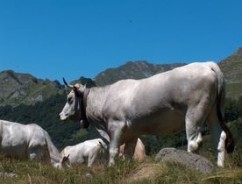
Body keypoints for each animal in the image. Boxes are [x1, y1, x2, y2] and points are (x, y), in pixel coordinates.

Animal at [59, 61, 234, 167]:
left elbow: (113, 151)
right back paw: (220, 167)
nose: (60, 115)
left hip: (194, 112)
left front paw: (110, 168)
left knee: (194, 142)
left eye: (69, 99)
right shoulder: (132, 133)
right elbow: (128, 154)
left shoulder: (115, 126)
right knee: (219, 138)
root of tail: (207, 64)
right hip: (213, 113)